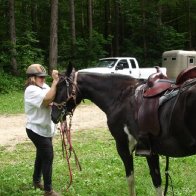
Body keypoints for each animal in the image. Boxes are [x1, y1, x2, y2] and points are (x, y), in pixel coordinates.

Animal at [51, 65, 196, 195]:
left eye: (60, 87)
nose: (53, 116)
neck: (121, 97)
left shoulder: (123, 146)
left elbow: (131, 179)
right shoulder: (151, 151)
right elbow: (157, 182)